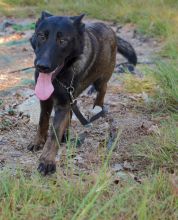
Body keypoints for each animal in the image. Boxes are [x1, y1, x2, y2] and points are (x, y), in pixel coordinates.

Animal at [27, 11, 137, 175]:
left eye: (63, 40)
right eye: (41, 36)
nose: (42, 66)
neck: (59, 77)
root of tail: (108, 27)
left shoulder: (63, 103)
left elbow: (54, 134)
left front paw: (47, 161)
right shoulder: (47, 101)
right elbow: (43, 122)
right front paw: (38, 141)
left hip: (101, 79)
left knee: (102, 90)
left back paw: (97, 107)